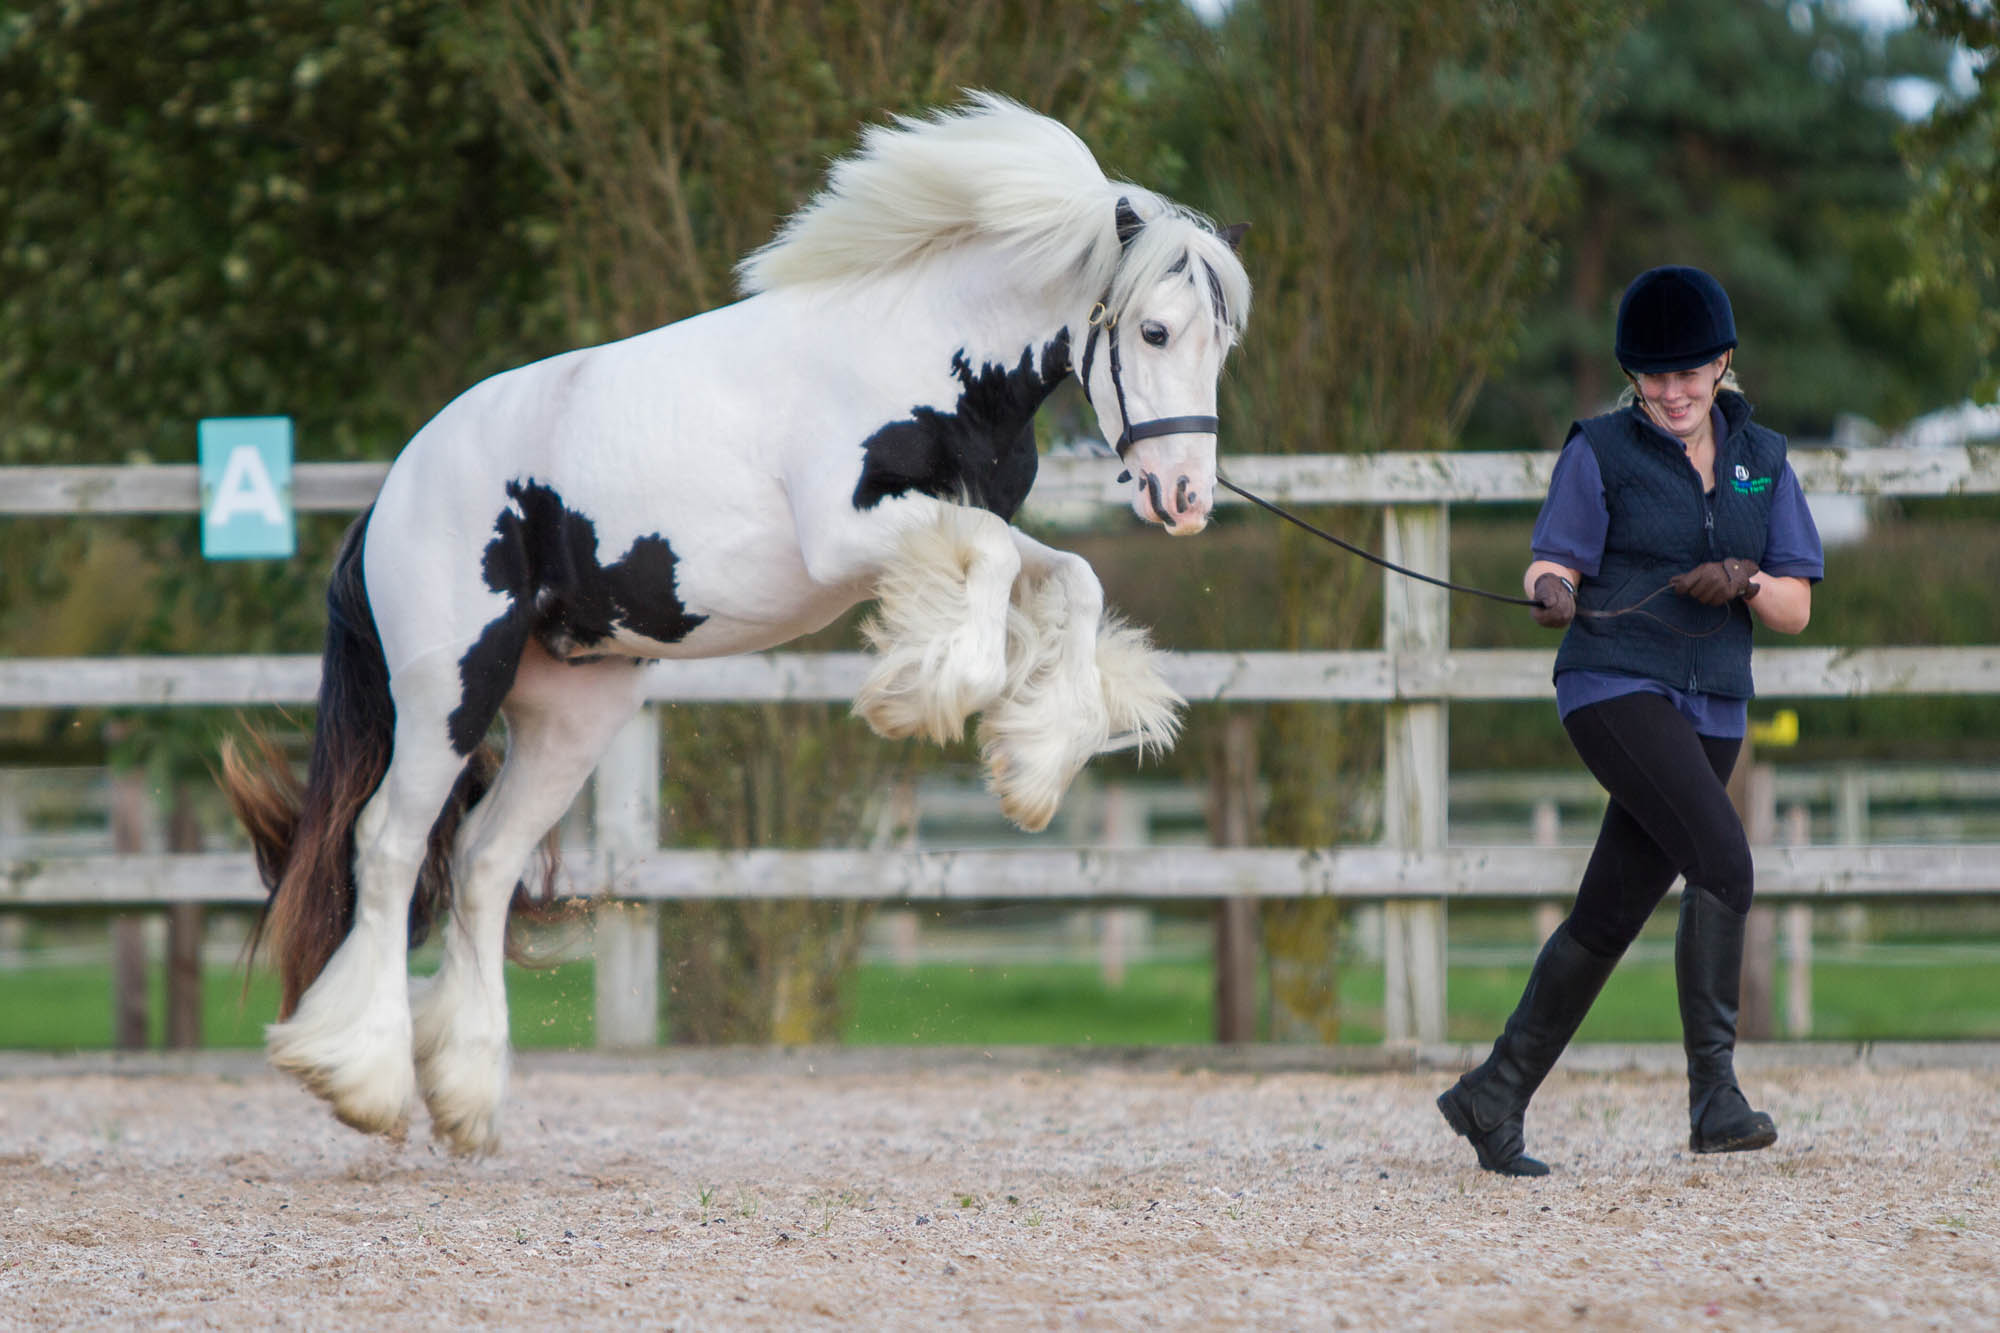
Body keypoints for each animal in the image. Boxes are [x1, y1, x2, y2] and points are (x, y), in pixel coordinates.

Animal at [223, 93, 1248, 1144]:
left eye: (1222, 341)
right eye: (1155, 331)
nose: (1186, 498)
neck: (920, 347)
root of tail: (396, 489)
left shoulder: (956, 527)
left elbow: (1074, 577)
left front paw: (1034, 764)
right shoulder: (850, 533)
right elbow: (1001, 568)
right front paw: (928, 697)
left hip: (572, 717)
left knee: (480, 862)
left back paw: (465, 1090)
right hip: (450, 690)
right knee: (387, 846)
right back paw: (363, 1076)